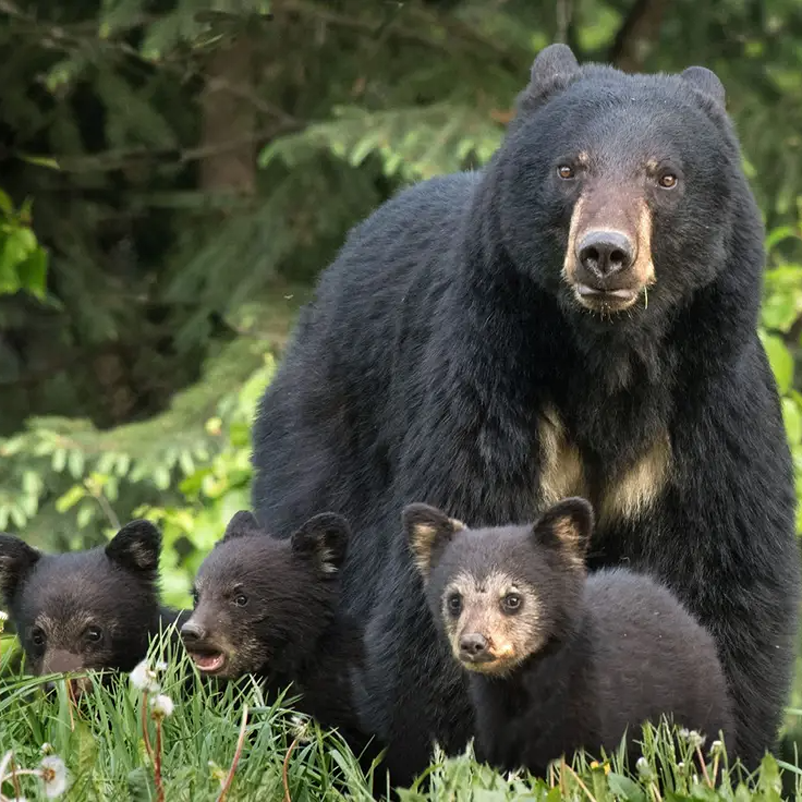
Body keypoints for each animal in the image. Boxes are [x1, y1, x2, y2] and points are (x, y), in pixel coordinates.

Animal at [405, 496, 735, 776]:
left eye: (512, 599)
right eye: (454, 600)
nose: (473, 643)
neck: (524, 688)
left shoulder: (595, 712)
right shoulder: (496, 726)